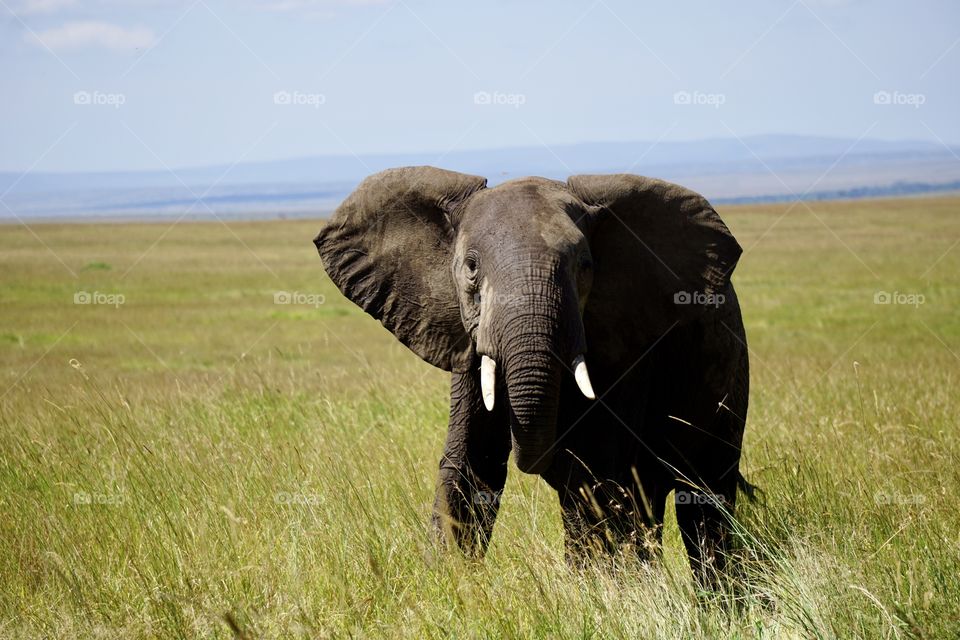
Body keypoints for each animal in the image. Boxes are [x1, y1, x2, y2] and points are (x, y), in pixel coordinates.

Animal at [312, 166, 749, 582]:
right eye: (471, 267)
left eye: (584, 266)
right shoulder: (469, 345)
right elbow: (470, 462)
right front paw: (449, 583)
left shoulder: (627, 345)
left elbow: (597, 470)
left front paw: (602, 588)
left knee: (702, 500)